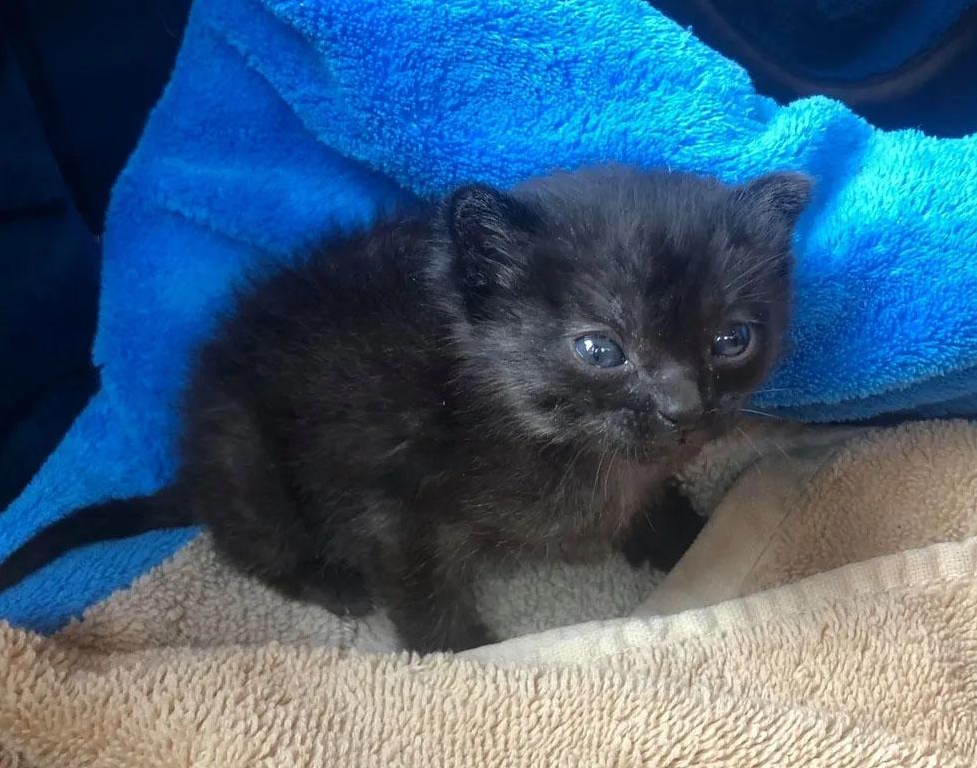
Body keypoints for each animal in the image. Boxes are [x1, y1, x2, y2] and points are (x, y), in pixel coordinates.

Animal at [0, 165, 808, 652]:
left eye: (731, 339)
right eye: (600, 348)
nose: (684, 406)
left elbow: (656, 507)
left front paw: (696, 538)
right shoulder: (387, 500)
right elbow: (423, 593)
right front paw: (468, 660)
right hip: (244, 456)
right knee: (253, 544)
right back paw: (331, 582)